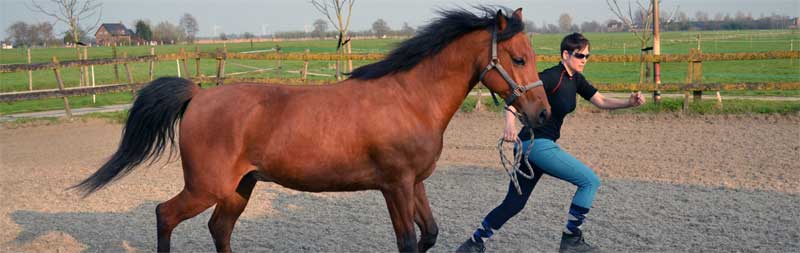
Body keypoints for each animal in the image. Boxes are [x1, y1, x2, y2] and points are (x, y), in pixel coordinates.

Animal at [75, 6, 552, 252]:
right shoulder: (394, 186)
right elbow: (407, 241)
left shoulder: (415, 183)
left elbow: (429, 235)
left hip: (239, 187)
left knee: (218, 229)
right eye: (519, 58)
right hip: (206, 187)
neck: (409, 98)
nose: (544, 113)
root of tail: (198, 94)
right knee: (165, 215)